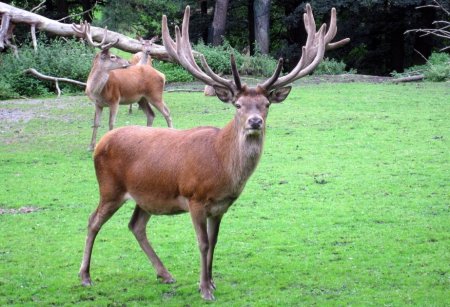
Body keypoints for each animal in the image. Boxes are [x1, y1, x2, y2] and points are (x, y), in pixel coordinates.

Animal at [73, 22, 173, 150]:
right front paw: (91, 146)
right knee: (151, 114)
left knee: (167, 112)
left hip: (155, 94)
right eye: (112, 56)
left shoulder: (115, 99)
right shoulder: (97, 104)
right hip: (142, 98)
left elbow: (111, 123)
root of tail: (162, 75)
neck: (97, 91)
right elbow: (95, 123)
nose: (128, 62)